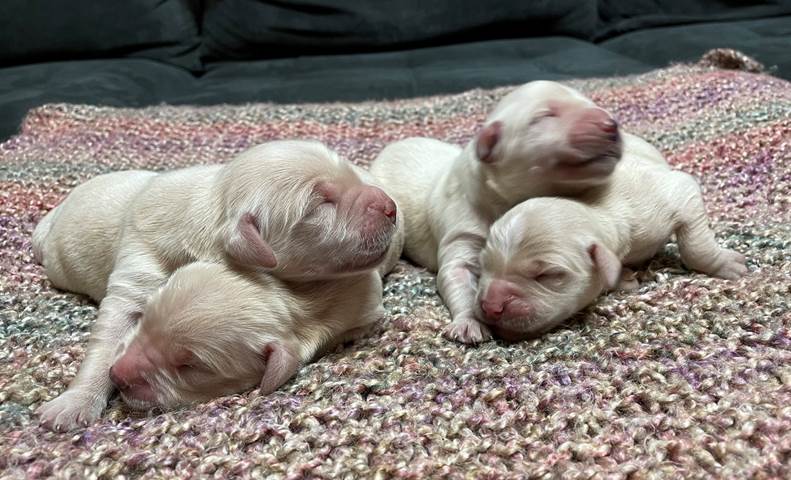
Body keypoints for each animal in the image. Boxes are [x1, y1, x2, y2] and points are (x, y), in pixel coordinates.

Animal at [372, 80, 624, 344]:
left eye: (590, 102)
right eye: (544, 116)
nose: (610, 124)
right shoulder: (462, 232)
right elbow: (456, 275)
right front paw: (468, 323)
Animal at [476, 133, 748, 340]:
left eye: (548, 275)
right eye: (483, 265)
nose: (491, 306)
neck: (593, 206)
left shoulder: (671, 196)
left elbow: (695, 243)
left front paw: (726, 264)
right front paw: (623, 278)